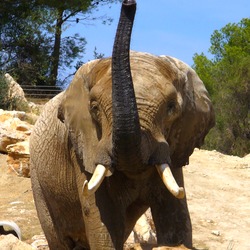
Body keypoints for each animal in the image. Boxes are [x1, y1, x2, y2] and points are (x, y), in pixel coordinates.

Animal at [28, 0, 213, 249]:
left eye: (172, 107)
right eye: (94, 108)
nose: (129, 4)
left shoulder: (175, 148)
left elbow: (176, 217)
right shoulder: (82, 150)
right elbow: (101, 219)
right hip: (38, 179)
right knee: (58, 237)